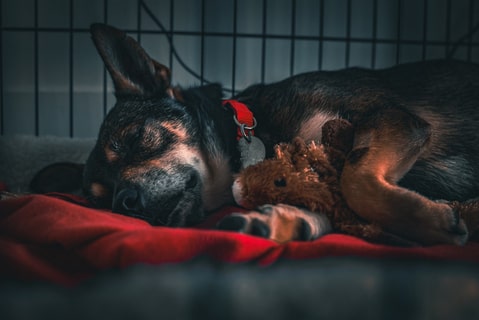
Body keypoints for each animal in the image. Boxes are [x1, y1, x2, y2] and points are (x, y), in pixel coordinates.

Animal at [79, 23, 479, 245]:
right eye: (101, 200)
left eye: (136, 138)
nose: (124, 202)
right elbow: (332, 200)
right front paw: (278, 220)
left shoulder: (395, 118)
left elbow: (355, 178)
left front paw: (429, 222)